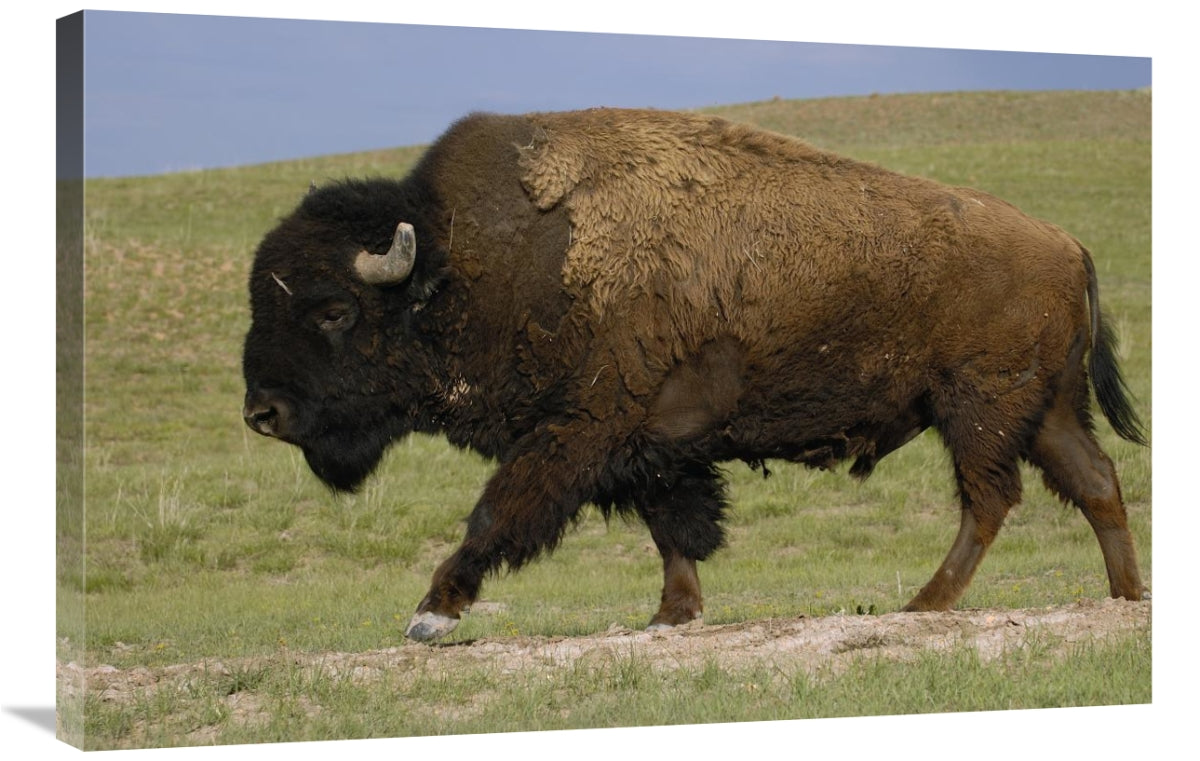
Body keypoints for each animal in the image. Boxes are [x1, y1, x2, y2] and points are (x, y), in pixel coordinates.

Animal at [242, 108, 1148, 642]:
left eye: (332, 309)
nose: (262, 412)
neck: (465, 258)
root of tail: (1067, 244)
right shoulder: (649, 442)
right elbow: (672, 525)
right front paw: (672, 612)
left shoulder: (578, 430)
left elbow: (499, 510)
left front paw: (431, 611)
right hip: (1044, 409)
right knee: (1094, 481)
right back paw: (1124, 596)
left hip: (980, 407)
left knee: (991, 498)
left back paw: (927, 603)